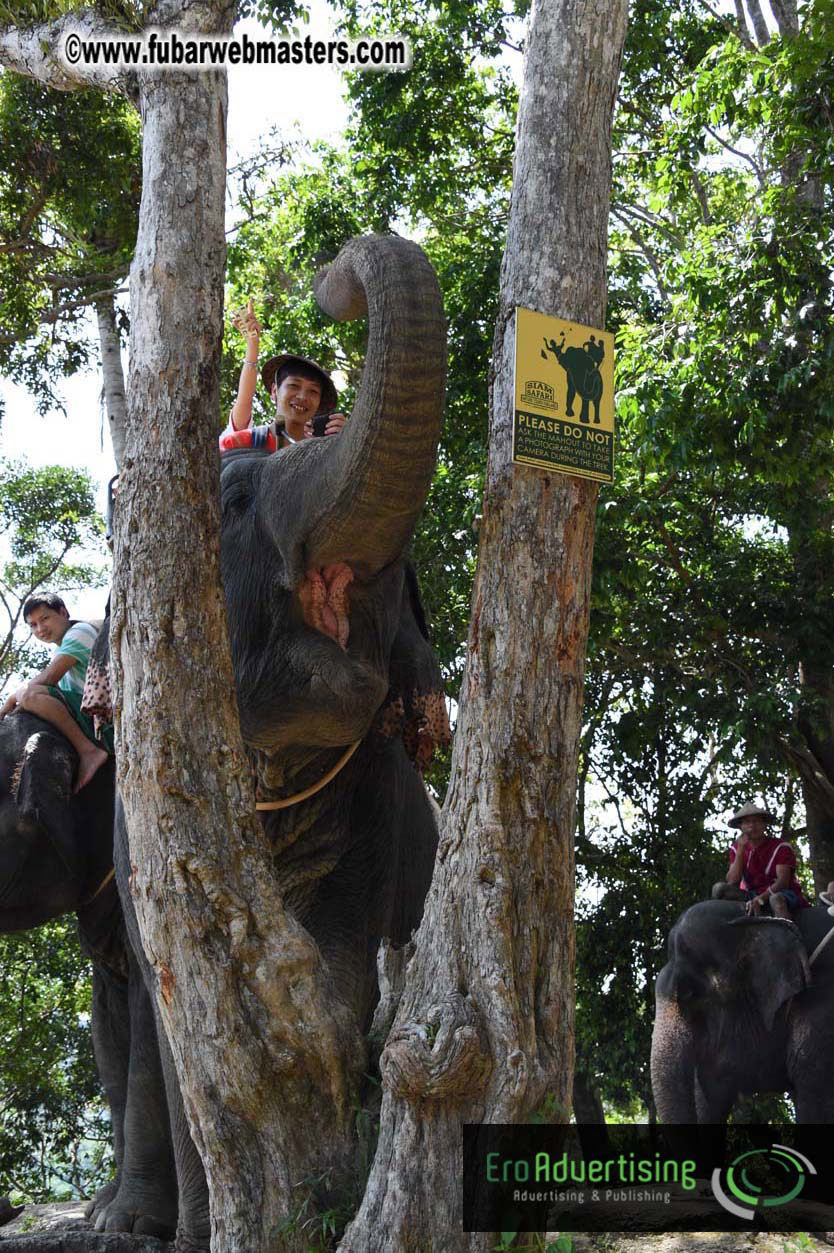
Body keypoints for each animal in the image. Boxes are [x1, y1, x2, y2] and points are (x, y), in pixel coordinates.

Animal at [0, 233, 448, 1247]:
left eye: (400, 582)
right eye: (234, 505)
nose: (334, 285)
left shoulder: (377, 805)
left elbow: (337, 979)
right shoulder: (135, 834)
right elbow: (165, 1018)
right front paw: (154, 1228)